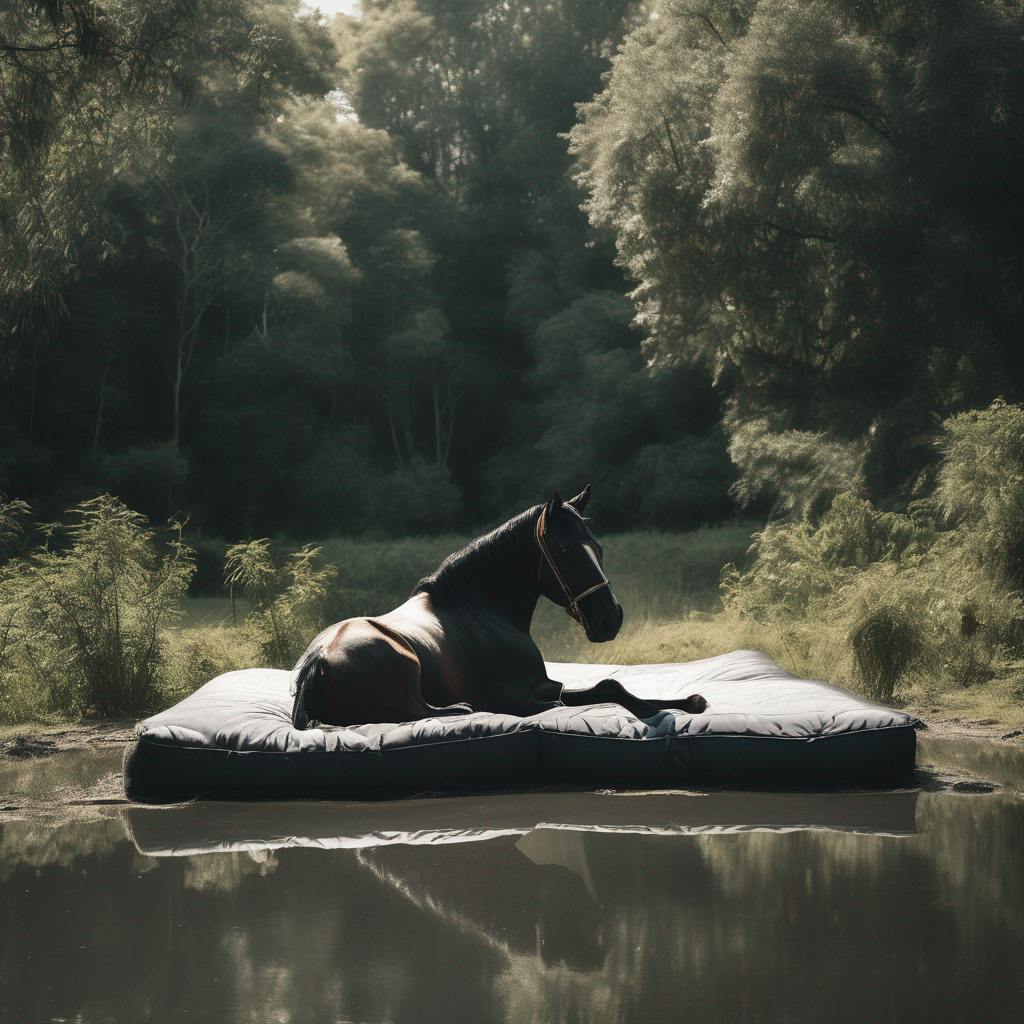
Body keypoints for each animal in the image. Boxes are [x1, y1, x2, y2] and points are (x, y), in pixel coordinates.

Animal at [290, 485, 708, 728]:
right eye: (566, 551)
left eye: (598, 547)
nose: (611, 619)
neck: (482, 609)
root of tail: (316, 666)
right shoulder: (528, 697)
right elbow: (604, 690)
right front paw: (655, 710)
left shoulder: (546, 685)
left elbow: (610, 684)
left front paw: (688, 701)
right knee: (424, 711)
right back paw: (463, 710)